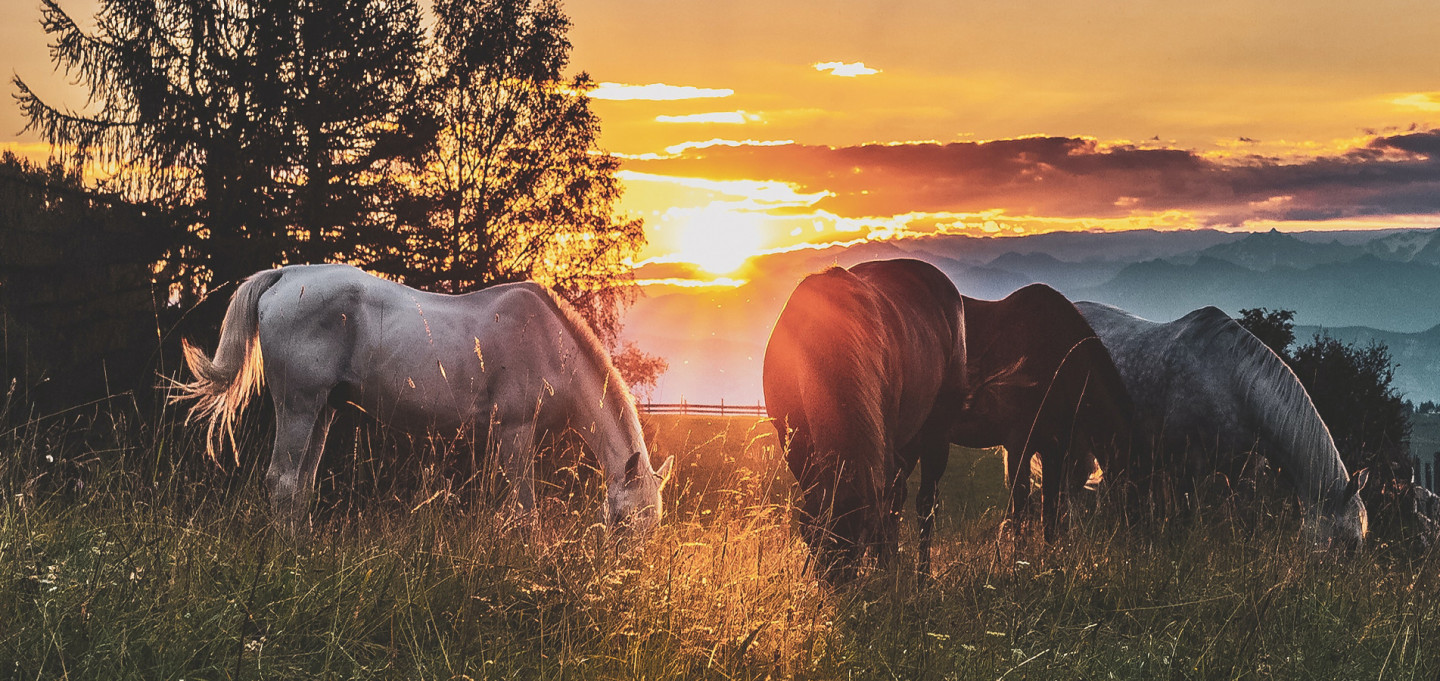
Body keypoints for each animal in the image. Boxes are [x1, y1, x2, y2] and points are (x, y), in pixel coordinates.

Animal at [172, 264, 673, 535]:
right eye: (623, 521)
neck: (549, 343)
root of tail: (283, 276)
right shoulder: (514, 431)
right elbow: (525, 510)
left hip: (323, 411)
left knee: (301, 486)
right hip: (298, 405)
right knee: (283, 481)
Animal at [763, 259, 967, 581]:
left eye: (859, 540)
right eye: (814, 540)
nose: (837, 584)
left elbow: (889, 510)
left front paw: (885, 567)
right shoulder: (792, 441)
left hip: (937, 434)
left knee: (924, 504)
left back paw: (919, 575)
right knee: (899, 497)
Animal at [1075, 302, 1369, 549]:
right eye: (1348, 542)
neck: (1231, 385)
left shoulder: (1244, 471)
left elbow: (1246, 521)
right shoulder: (1188, 467)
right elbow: (1186, 517)